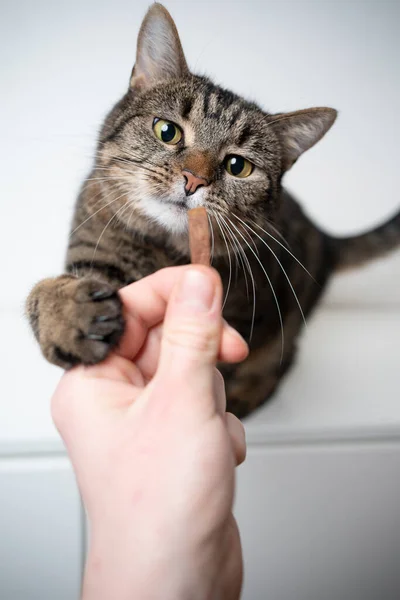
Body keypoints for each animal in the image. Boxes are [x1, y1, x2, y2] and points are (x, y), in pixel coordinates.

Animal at [25, 3, 400, 418]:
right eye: (166, 130)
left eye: (238, 166)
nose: (194, 180)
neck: (167, 253)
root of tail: (324, 236)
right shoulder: (95, 254)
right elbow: (43, 290)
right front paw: (66, 313)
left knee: (280, 363)